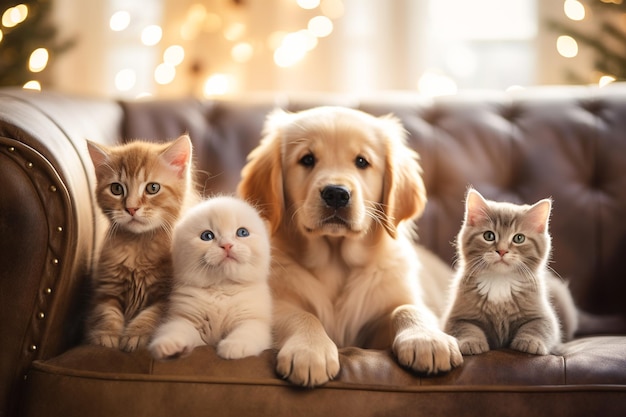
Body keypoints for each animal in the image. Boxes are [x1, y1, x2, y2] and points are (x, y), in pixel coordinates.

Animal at [84, 135, 194, 350]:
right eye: (116, 188)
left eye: (153, 188)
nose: (131, 208)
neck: (138, 246)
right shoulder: (107, 289)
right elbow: (106, 312)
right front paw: (106, 335)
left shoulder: (167, 296)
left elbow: (152, 315)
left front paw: (137, 334)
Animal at [150, 197, 272, 360]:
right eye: (207, 236)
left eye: (242, 232)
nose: (227, 245)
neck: (222, 288)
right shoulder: (187, 320)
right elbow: (175, 329)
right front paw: (169, 345)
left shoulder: (253, 320)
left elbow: (246, 332)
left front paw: (234, 346)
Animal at [236, 105, 460, 386]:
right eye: (307, 159)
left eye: (362, 161)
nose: (336, 194)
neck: (336, 259)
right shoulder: (278, 302)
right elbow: (301, 315)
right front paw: (309, 351)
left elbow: (407, 308)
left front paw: (427, 339)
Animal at [442, 188, 576, 354]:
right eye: (489, 236)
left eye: (519, 238)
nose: (502, 250)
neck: (500, 280)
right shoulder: (456, 316)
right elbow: (465, 327)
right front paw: (471, 342)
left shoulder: (544, 315)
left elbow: (539, 326)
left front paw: (531, 341)